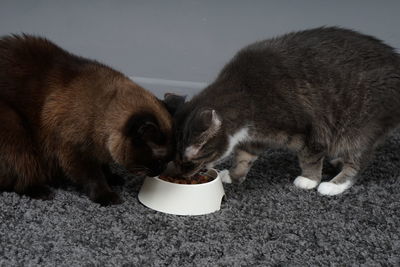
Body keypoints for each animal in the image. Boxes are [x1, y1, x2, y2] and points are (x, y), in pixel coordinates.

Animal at [0, 33, 175, 205]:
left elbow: (104, 167)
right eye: (160, 160)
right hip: (14, 127)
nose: (160, 171)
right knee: (21, 177)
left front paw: (112, 178)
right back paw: (41, 191)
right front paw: (106, 195)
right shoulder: (75, 153)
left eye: (167, 160)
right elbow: (94, 177)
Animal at [167, 27, 400, 196]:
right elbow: (244, 156)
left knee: (358, 160)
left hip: (360, 126)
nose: (182, 174)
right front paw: (234, 176)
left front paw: (309, 180)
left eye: (190, 160)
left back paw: (333, 185)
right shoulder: (254, 138)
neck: (246, 94)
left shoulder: (311, 130)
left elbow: (310, 157)